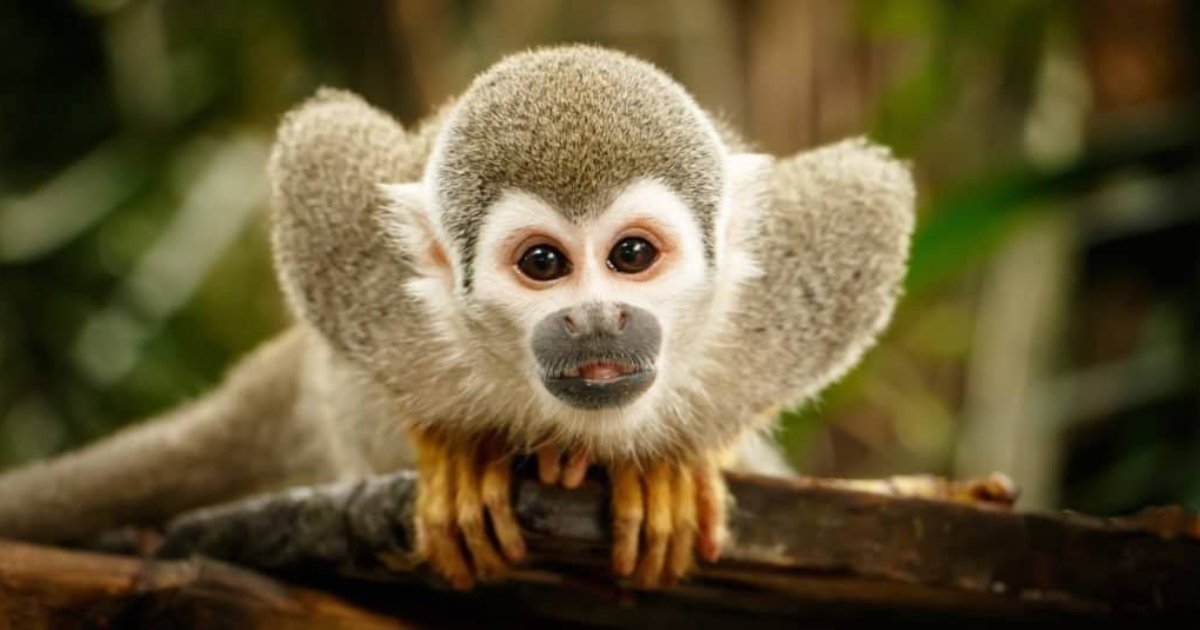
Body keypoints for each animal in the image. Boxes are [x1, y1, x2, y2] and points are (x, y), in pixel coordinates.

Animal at [0, 45, 914, 591]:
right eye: (543, 264)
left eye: (631, 256)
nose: (596, 320)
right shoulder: (369, 286)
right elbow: (321, 146)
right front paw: (453, 449)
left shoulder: (785, 291)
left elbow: (870, 197)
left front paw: (677, 462)